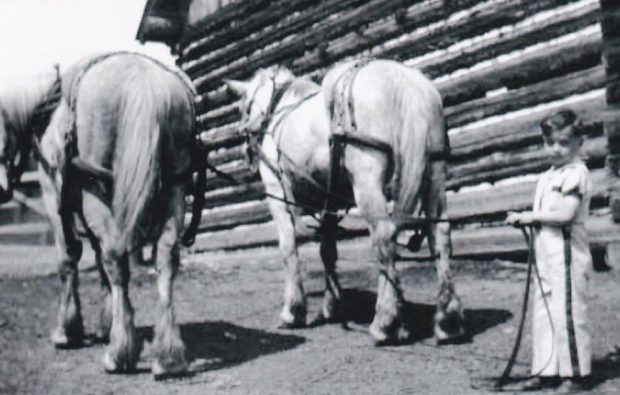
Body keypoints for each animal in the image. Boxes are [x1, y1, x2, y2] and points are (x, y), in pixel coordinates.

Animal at [0, 51, 206, 378]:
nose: (1, 191)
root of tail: (142, 78)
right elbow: (97, 263)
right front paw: (105, 324)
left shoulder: (54, 199)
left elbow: (69, 259)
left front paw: (68, 331)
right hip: (176, 189)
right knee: (165, 259)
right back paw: (168, 356)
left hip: (98, 194)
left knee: (116, 260)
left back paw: (119, 352)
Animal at [228, 59, 464, 346]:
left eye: (245, 107)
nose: (246, 153)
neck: (277, 111)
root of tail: (406, 82)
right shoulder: (329, 200)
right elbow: (328, 250)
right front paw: (332, 305)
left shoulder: (277, 191)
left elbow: (288, 247)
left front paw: (293, 311)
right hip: (435, 173)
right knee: (439, 235)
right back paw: (447, 321)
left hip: (367, 180)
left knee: (384, 235)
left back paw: (385, 322)